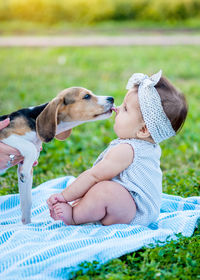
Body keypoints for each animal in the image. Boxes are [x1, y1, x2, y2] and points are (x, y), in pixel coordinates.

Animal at [0, 86, 114, 224]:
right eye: (86, 96)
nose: (112, 98)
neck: (34, 120)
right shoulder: (6, 134)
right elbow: (30, 148)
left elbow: (27, 203)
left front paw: (27, 225)